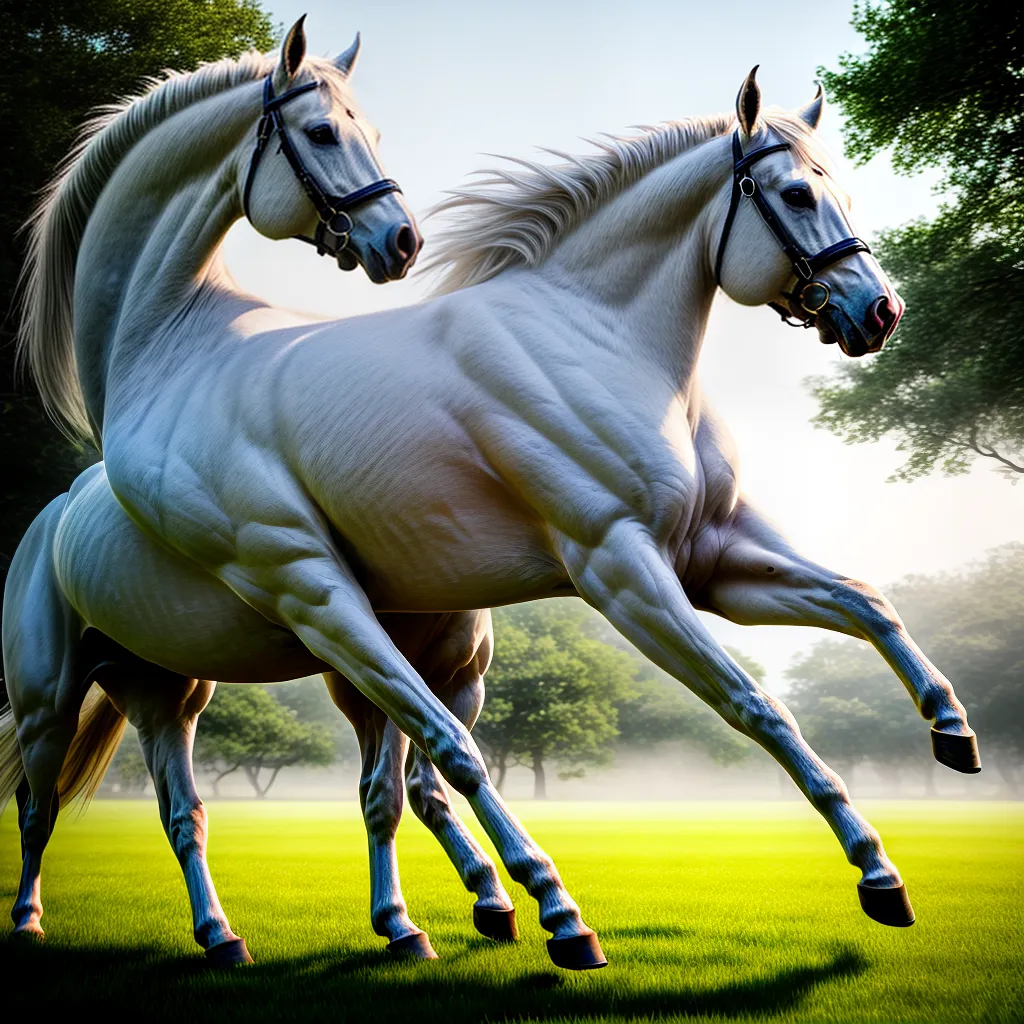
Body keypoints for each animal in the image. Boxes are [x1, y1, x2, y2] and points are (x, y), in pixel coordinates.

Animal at [4, 30, 982, 969]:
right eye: (797, 193)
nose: (879, 313)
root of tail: (62, 509)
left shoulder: (712, 558)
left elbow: (865, 603)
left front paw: (947, 746)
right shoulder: (606, 572)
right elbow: (747, 706)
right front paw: (564, 914)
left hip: (169, 693)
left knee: (198, 810)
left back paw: (242, 936)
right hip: (70, 694)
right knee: (41, 800)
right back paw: (34, 927)